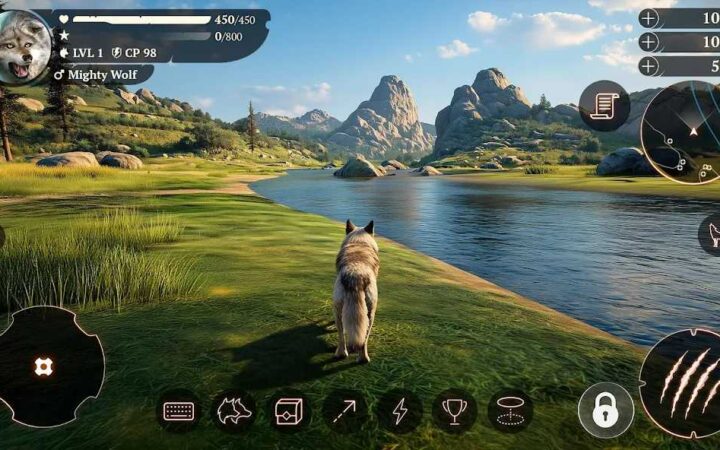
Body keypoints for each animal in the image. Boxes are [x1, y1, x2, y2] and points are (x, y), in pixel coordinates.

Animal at [333, 219, 379, 363]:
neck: (359, 241)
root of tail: (356, 275)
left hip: (340, 309)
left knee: (343, 335)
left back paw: (345, 354)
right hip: (370, 311)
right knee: (361, 338)